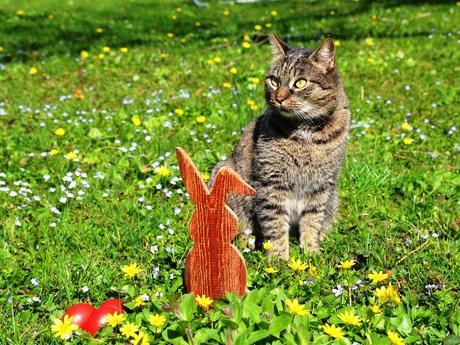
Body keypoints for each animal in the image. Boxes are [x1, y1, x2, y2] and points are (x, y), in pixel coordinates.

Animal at [214, 35, 350, 260]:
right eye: (274, 81)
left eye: (300, 82)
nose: (278, 98)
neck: (306, 131)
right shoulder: (272, 183)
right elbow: (275, 223)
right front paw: (279, 260)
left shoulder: (321, 185)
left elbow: (312, 221)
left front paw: (311, 253)